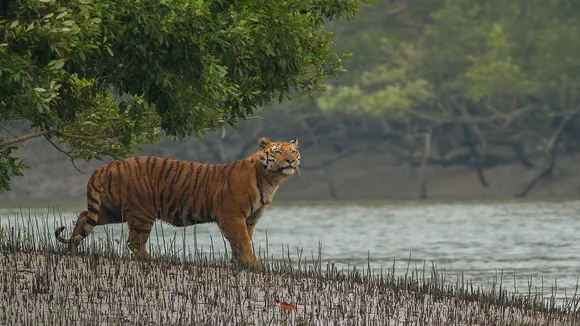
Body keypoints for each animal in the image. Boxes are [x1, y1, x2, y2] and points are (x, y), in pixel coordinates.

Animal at [55, 137, 302, 268]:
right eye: (277, 151)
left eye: (293, 151)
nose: (290, 160)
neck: (270, 179)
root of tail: (107, 166)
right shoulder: (232, 216)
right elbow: (242, 242)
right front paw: (252, 264)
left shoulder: (249, 219)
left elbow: (242, 242)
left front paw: (240, 264)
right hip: (142, 212)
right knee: (134, 242)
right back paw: (155, 260)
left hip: (112, 210)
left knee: (84, 216)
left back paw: (73, 247)